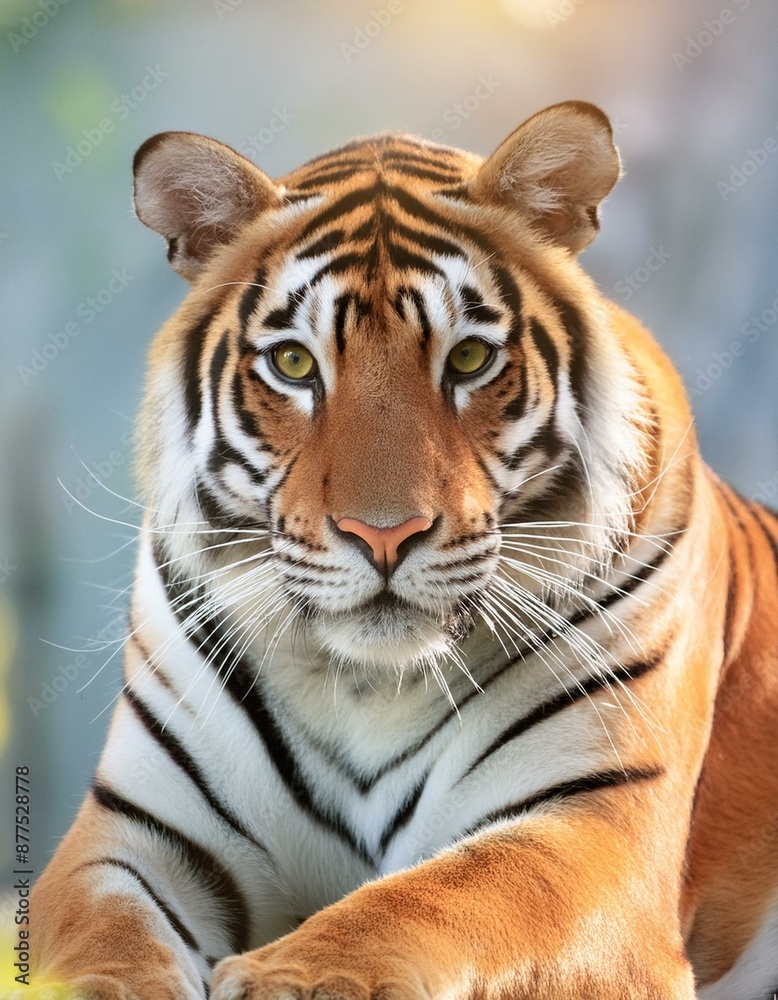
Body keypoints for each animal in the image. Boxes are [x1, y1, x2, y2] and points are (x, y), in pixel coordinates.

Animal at [23, 100, 778, 1000]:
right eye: (293, 364)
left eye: (469, 358)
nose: (383, 534)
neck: (366, 687)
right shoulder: (131, 838)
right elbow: (99, 953)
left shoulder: (595, 820)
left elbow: (430, 900)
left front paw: (289, 980)